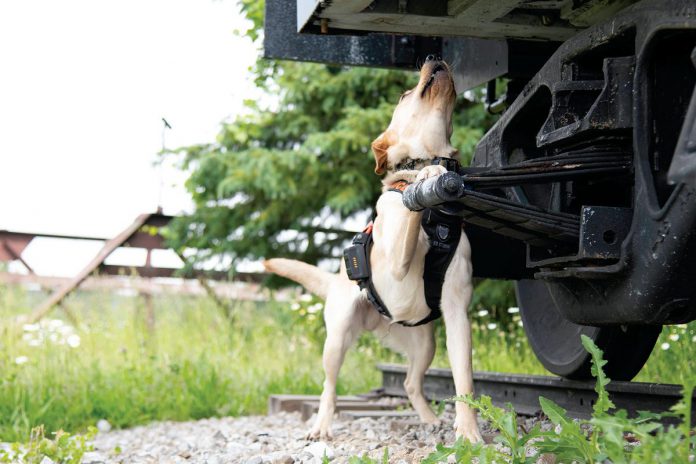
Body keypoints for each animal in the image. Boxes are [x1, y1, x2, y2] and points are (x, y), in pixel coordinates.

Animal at [264, 57, 482, 442]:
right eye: (404, 94)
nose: (433, 57)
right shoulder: (398, 258)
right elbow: (410, 204)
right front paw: (426, 176)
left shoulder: (457, 310)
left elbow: (464, 382)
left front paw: (468, 433)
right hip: (337, 340)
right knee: (329, 387)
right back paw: (321, 426)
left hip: (425, 343)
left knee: (409, 383)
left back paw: (429, 419)